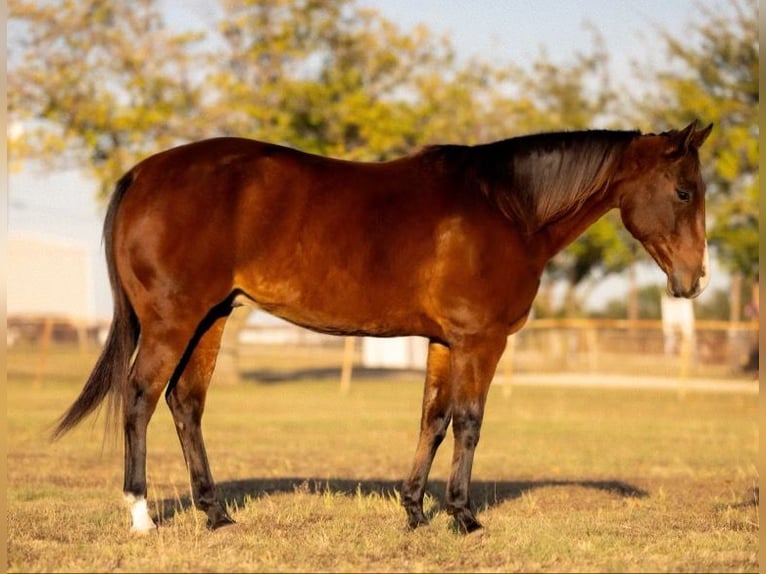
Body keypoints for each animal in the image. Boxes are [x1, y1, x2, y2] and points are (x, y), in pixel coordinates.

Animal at [52, 120, 712, 536]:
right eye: (684, 191)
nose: (695, 281)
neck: (507, 208)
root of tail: (143, 174)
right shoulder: (480, 341)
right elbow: (469, 424)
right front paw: (463, 516)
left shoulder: (446, 341)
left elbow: (433, 421)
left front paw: (415, 511)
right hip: (173, 321)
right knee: (140, 398)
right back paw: (141, 514)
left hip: (210, 319)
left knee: (185, 403)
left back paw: (215, 515)